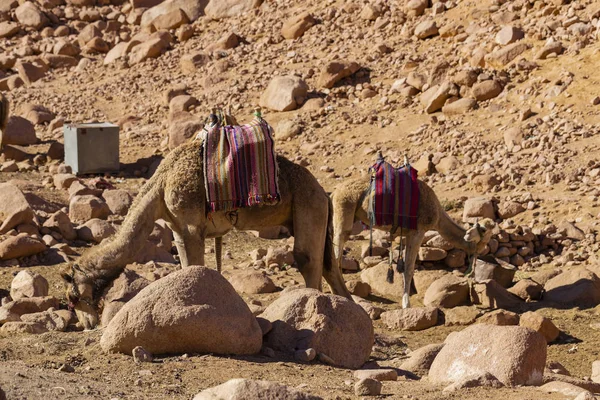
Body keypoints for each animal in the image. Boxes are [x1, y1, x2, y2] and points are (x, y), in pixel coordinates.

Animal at [61, 139, 352, 330]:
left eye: (72, 297)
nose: (87, 324)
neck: (160, 187)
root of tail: (323, 191)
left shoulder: (191, 227)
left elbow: (195, 266)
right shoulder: (178, 229)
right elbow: (186, 267)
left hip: (308, 206)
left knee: (307, 259)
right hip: (313, 214)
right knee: (329, 266)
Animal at [330, 175, 494, 310]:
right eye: (485, 231)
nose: (481, 249)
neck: (438, 216)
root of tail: (334, 192)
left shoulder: (408, 233)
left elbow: (404, 267)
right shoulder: (418, 231)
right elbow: (409, 269)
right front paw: (406, 304)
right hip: (343, 211)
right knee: (336, 254)